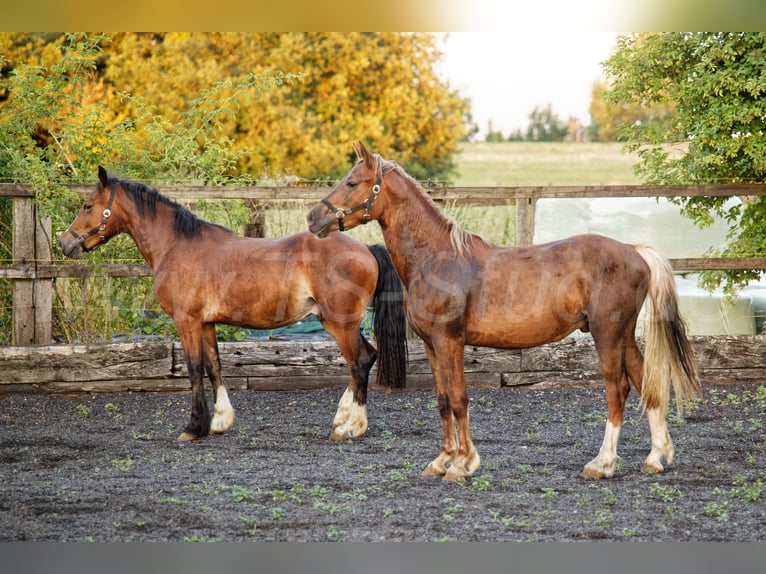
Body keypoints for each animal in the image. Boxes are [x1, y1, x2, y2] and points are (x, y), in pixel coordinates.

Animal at [59, 166, 407, 442]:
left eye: (87, 205)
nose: (65, 242)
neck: (177, 246)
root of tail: (366, 248)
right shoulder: (206, 323)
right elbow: (214, 366)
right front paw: (219, 422)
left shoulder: (186, 321)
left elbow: (194, 369)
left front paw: (193, 427)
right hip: (335, 321)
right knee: (368, 357)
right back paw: (342, 417)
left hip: (340, 322)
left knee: (359, 362)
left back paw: (351, 427)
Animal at [307, 141, 701, 481]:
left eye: (352, 182)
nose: (313, 218)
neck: (436, 258)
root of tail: (634, 251)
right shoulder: (432, 346)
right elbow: (442, 400)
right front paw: (441, 460)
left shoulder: (450, 341)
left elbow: (459, 399)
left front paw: (463, 464)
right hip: (623, 336)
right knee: (646, 382)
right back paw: (656, 458)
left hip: (608, 334)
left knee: (617, 389)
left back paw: (602, 463)